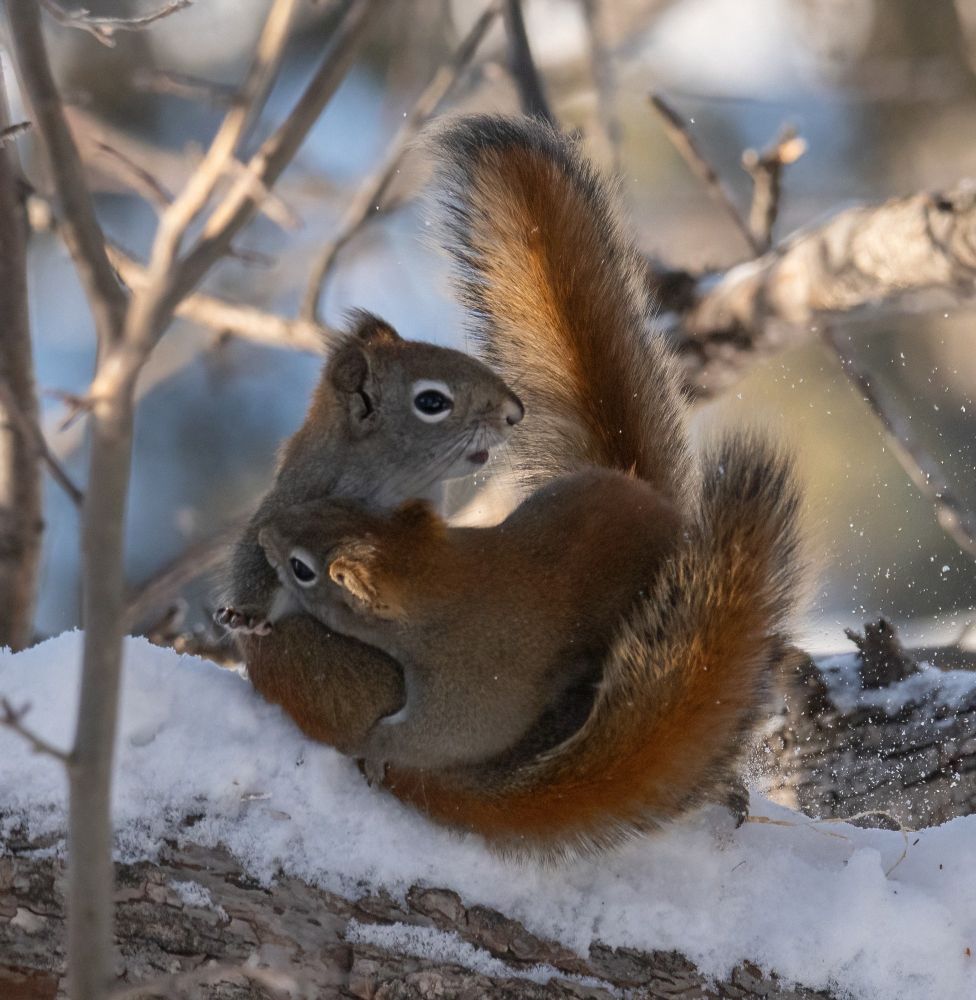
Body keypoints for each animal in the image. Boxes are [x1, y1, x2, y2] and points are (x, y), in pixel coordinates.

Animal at [218, 309, 524, 754]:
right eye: (432, 402)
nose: (515, 411)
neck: (396, 483)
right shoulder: (296, 498)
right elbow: (254, 556)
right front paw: (244, 613)